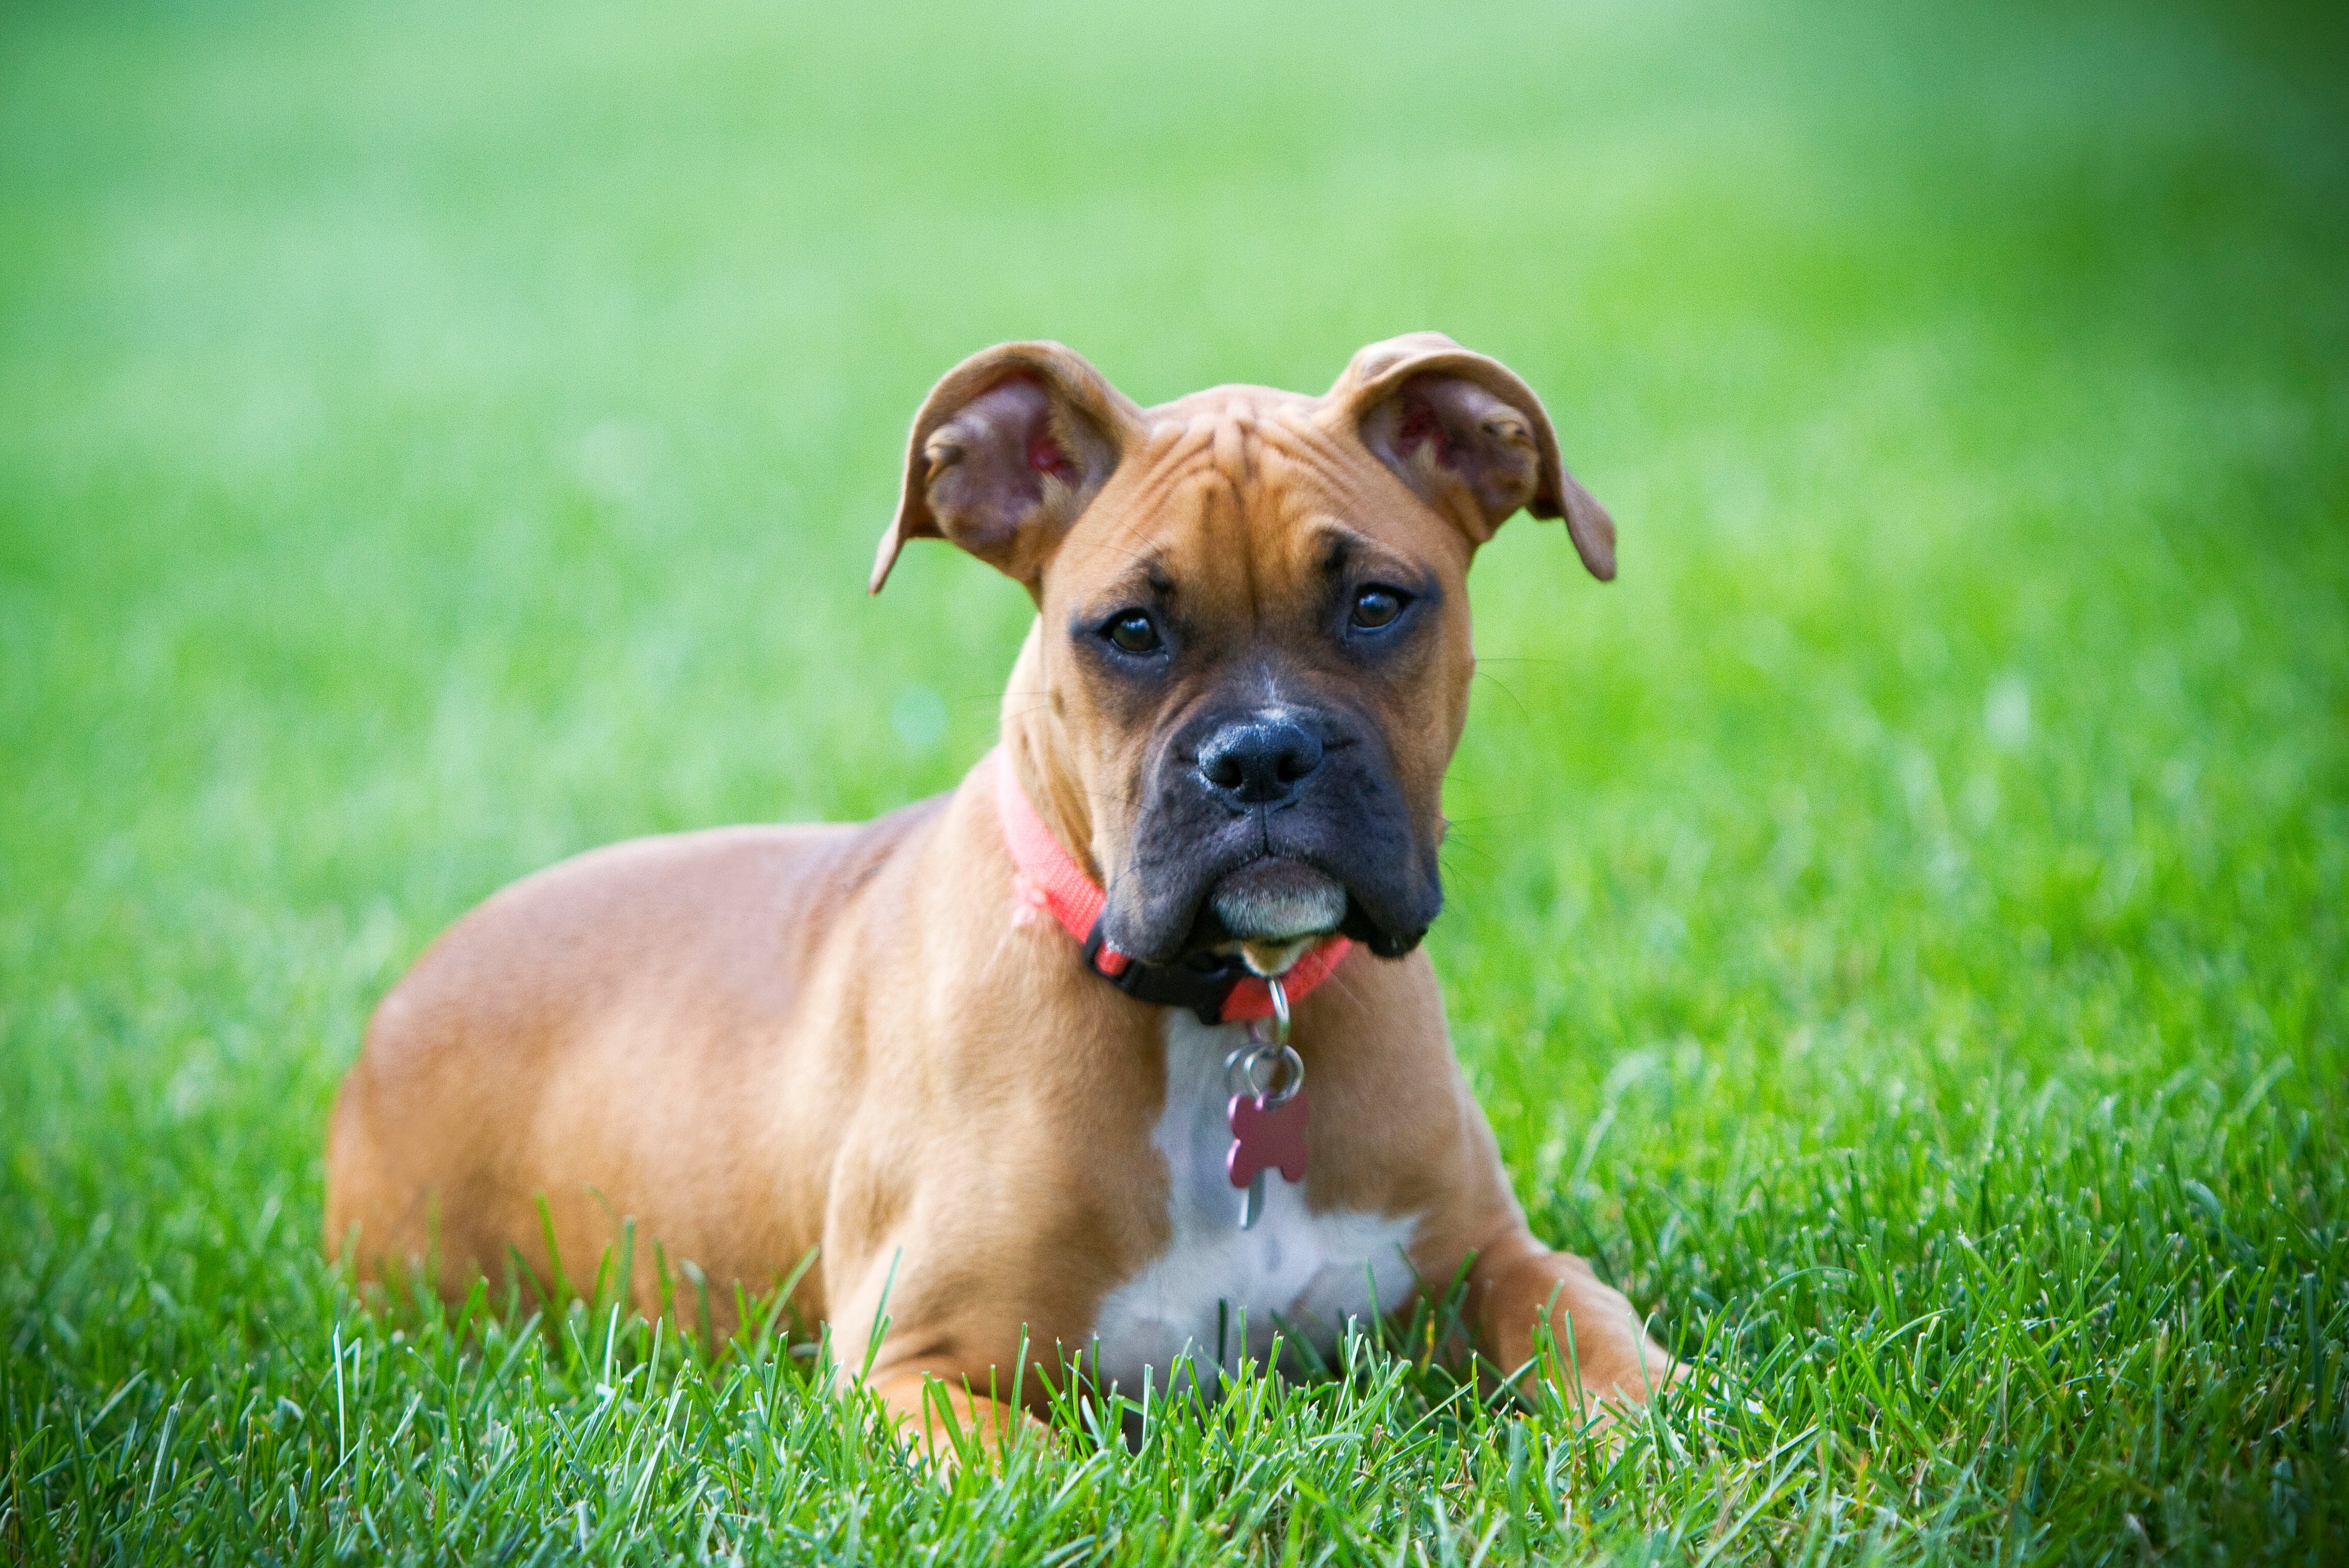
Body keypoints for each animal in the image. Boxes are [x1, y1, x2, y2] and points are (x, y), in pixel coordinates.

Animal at [326, 333, 1672, 1455]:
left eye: (1379, 603)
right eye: (1128, 630)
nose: (1260, 755)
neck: (1217, 1016)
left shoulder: (1487, 1256)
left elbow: (1589, 1329)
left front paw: (1663, 1440)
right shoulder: (909, 1370)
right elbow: (1056, 1466)